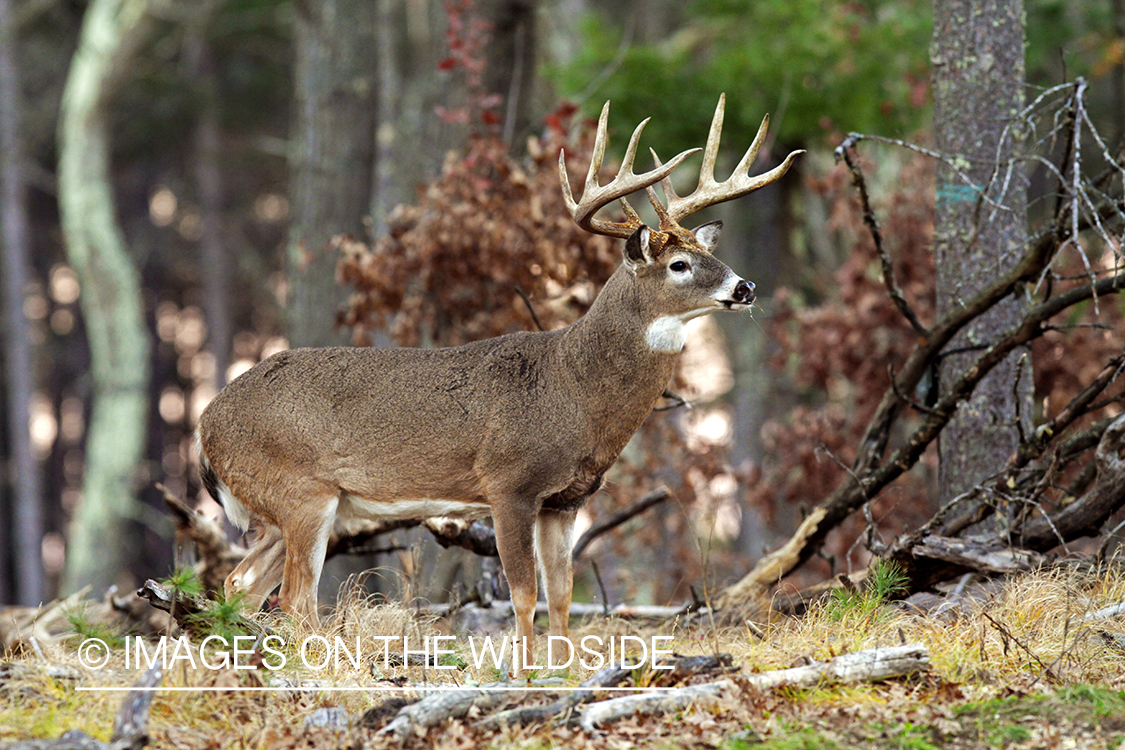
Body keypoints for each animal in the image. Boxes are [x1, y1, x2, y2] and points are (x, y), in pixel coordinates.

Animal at [198, 91, 805, 670]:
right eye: (678, 264)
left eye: (706, 251)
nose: (746, 287)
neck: (573, 389)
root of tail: (205, 424)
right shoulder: (508, 483)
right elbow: (522, 594)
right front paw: (523, 674)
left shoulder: (566, 501)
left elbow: (561, 595)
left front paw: (564, 674)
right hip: (301, 492)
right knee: (294, 598)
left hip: (290, 510)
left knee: (238, 583)